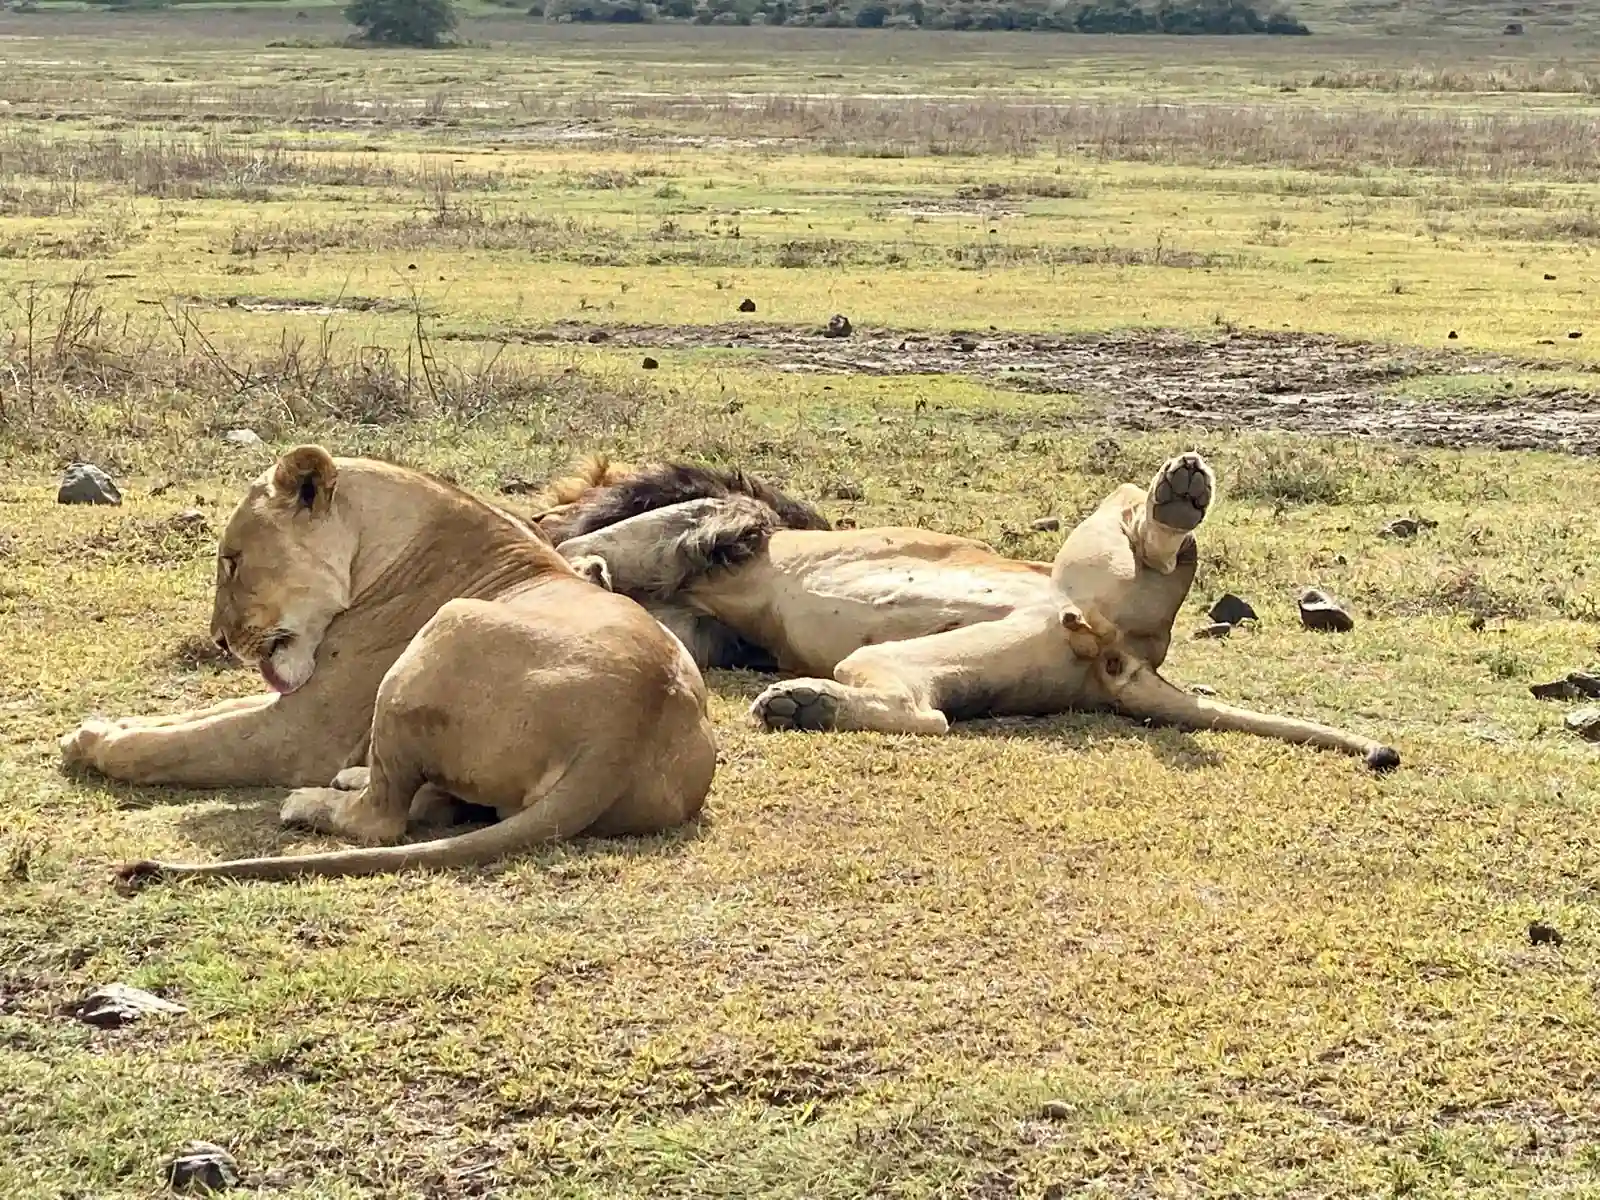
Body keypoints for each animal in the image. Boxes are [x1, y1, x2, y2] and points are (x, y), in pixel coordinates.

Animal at [58, 445, 718, 886]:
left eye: (232, 562)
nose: (219, 641)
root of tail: (624, 732)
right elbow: (200, 714)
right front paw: (105, 725)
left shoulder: (304, 733)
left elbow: (183, 745)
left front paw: (93, 745)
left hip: (442, 633)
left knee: (382, 819)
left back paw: (312, 801)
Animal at [537, 450, 1401, 771]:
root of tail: (1131, 654)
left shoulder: (693, 522)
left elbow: (594, 542)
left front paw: (579, 559)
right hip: (935, 659)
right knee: (927, 714)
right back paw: (804, 705)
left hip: (1091, 549)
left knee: (1154, 540)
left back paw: (1179, 486)